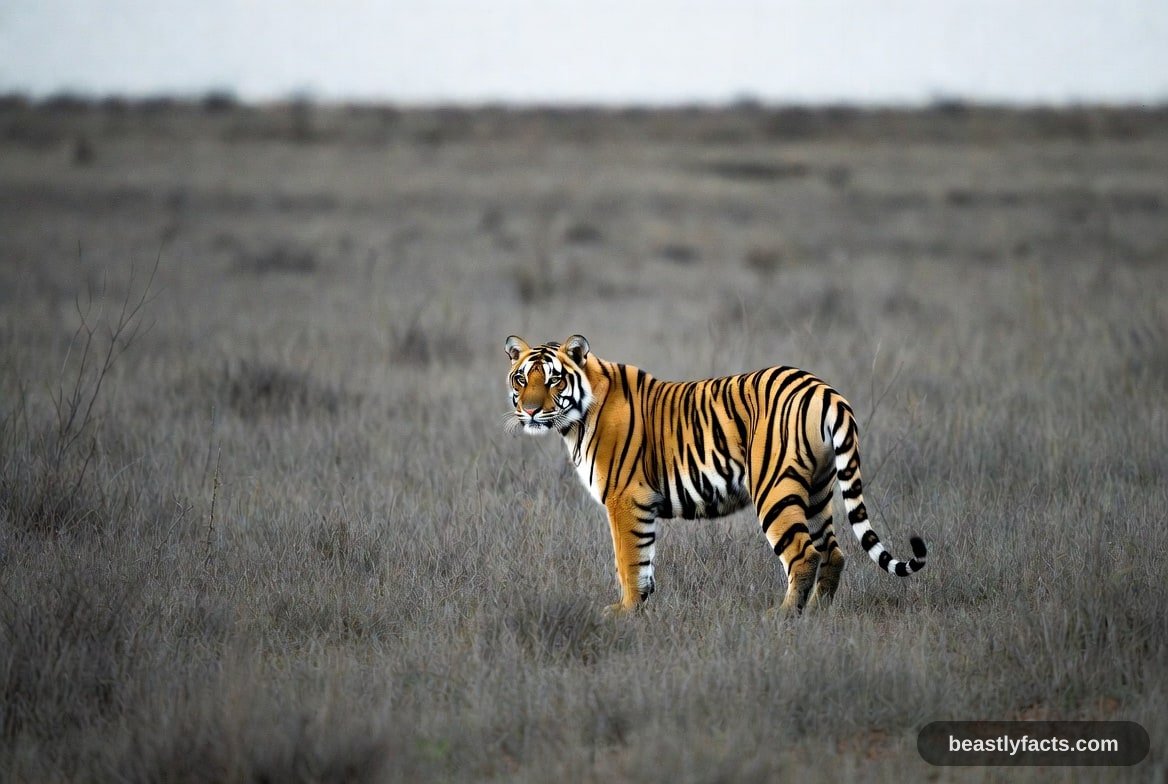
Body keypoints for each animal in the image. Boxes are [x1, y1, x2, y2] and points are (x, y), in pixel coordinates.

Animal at [503, 334, 927, 616]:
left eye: (554, 379)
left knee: (805, 554)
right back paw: (816, 614)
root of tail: (824, 389)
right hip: (817, 490)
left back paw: (783, 616)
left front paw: (625, 612)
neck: (575, 421)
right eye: (521, 379)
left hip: (775, 489)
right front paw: (643, 604)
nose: (530, 410)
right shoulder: (641, 504)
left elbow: (628, 559)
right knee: (833, 553)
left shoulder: (625, 498)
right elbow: (644, 560)